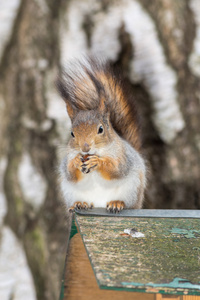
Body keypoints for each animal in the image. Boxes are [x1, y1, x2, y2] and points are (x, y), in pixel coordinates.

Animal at [55, 57, 146, 212]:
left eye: (101, 129)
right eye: (72, 133)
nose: (85, 148)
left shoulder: (122, 157)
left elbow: (115, 169)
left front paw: (97, 162)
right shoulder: (68, 159)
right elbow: (70, 173)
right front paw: (76, 161)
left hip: (132, 191)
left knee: (127, 203)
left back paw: (117, 203)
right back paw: (80, 204)